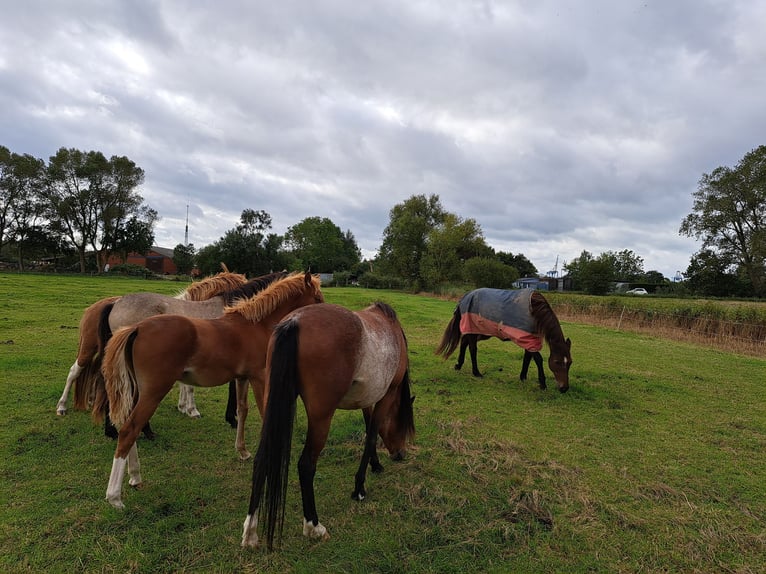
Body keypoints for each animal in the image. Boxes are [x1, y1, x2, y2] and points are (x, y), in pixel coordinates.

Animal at [100, 272, 322, 510]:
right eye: (317, 297)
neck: (254, 325)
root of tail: (137, 328)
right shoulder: (259, 377)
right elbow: (264, 414)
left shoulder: (242, 378)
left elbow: (242, 410)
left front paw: (242, 451)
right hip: (153, 391)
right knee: (129, 430)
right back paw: (115, 497)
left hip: (135, 391)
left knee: (126, 424)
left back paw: (135, 476)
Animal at [243, 304, 416, 552]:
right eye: (403, 426)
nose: (400, 454)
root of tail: (294, 321)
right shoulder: (387, 395)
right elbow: (372, 434)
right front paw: (359, 488)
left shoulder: (366, 398)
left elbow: (368, 428)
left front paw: (374, 465)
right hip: (321, 417)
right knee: (306, 465)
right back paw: (314, 527)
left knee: (261, 460)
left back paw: (250, 532)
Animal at [436, 290, 572, 394]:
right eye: (557, 362)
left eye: (570, 362)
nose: (564, 388)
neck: (535, 310)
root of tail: (465, 297)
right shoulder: (527, 338)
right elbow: (538, 359)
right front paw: (542, 384)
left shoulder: (529, 339)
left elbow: (527, 358)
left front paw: (523, 377)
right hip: (474, 329)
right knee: (472, 349)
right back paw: (476, 373)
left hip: (480, 332)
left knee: (464, 342)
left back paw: (458, 365)